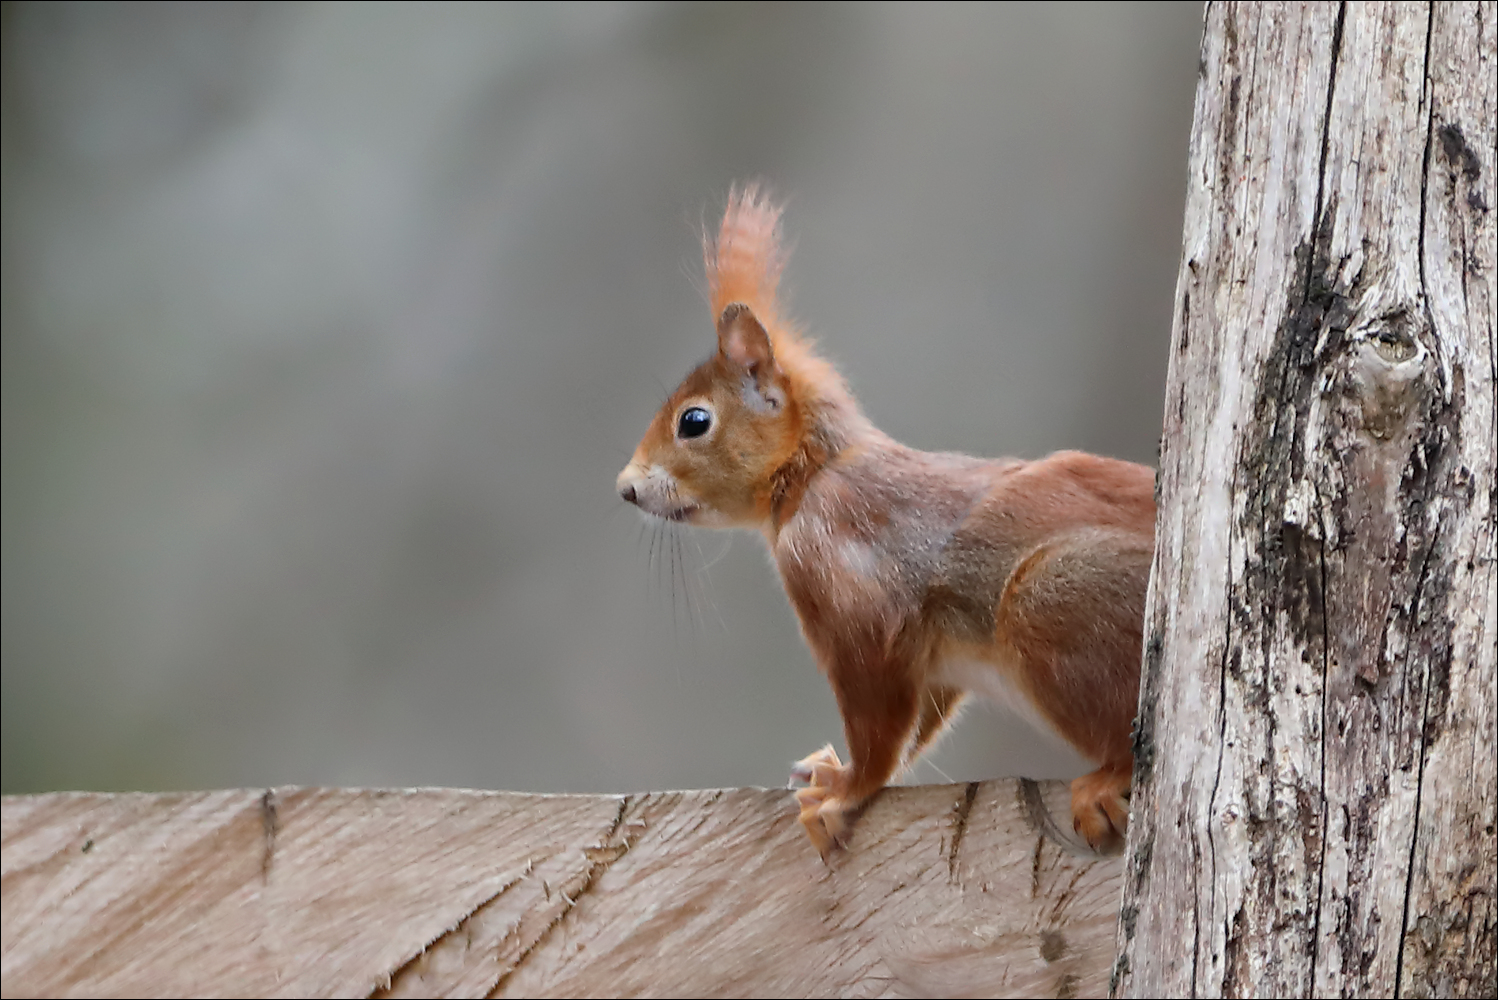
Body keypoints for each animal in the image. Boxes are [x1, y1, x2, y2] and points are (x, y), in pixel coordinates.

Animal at [614, 189, 1150, 862]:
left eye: (693, 421)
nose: (625, 487)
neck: (813, 472)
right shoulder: (930, 664)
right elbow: (921, 718)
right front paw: (827, 770)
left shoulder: (841, 575)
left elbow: (878, 718)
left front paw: (842, 790)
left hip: (1054, 597)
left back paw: (1106, 779)